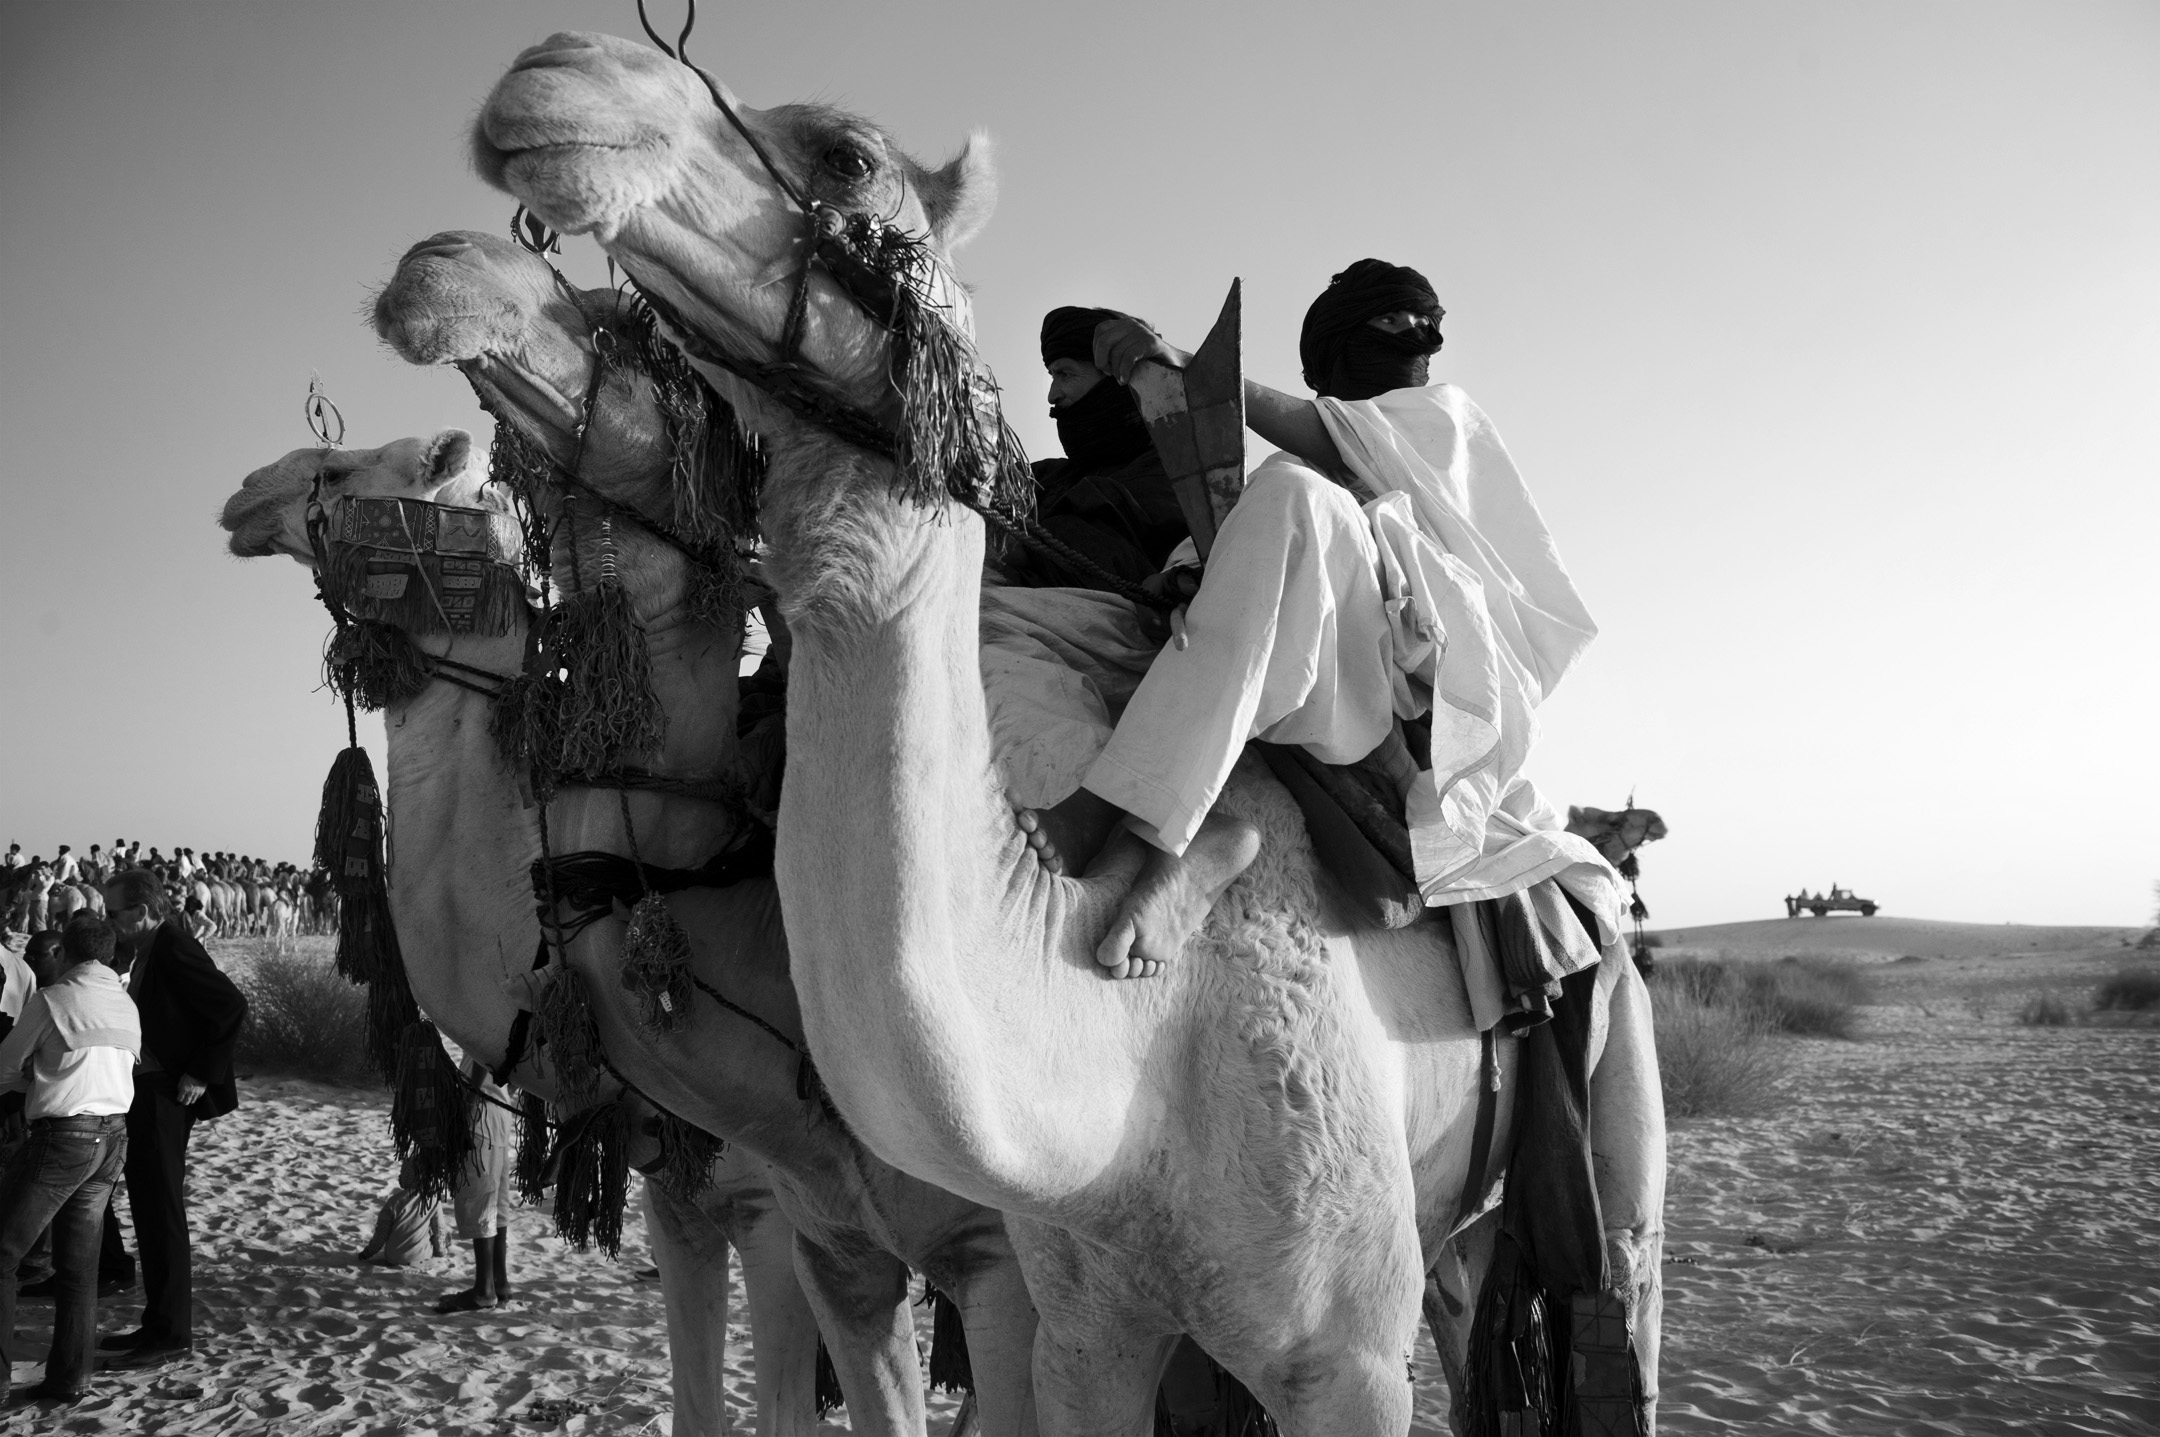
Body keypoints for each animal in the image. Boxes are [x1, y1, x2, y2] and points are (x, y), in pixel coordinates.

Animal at [477, 28, 1667, 1426]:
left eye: (848, 155)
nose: (554, 75)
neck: (1122, 1066)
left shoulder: (1343, 1361)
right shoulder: (1081, 1329)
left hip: (1613, 1149)